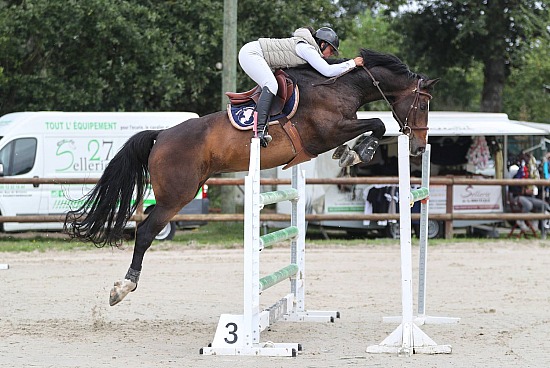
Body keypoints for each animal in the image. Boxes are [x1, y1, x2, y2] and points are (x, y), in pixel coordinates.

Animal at [63, 49, 440, 308]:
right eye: (422, 105)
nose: (419, 146)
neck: (337, 87)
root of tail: (162, 136)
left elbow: (371, 126)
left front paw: (350, 153)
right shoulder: (326, 132)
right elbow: (377, 123)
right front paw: (358, 152)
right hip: (176, 196)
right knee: (144, 233)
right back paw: (122, 288)